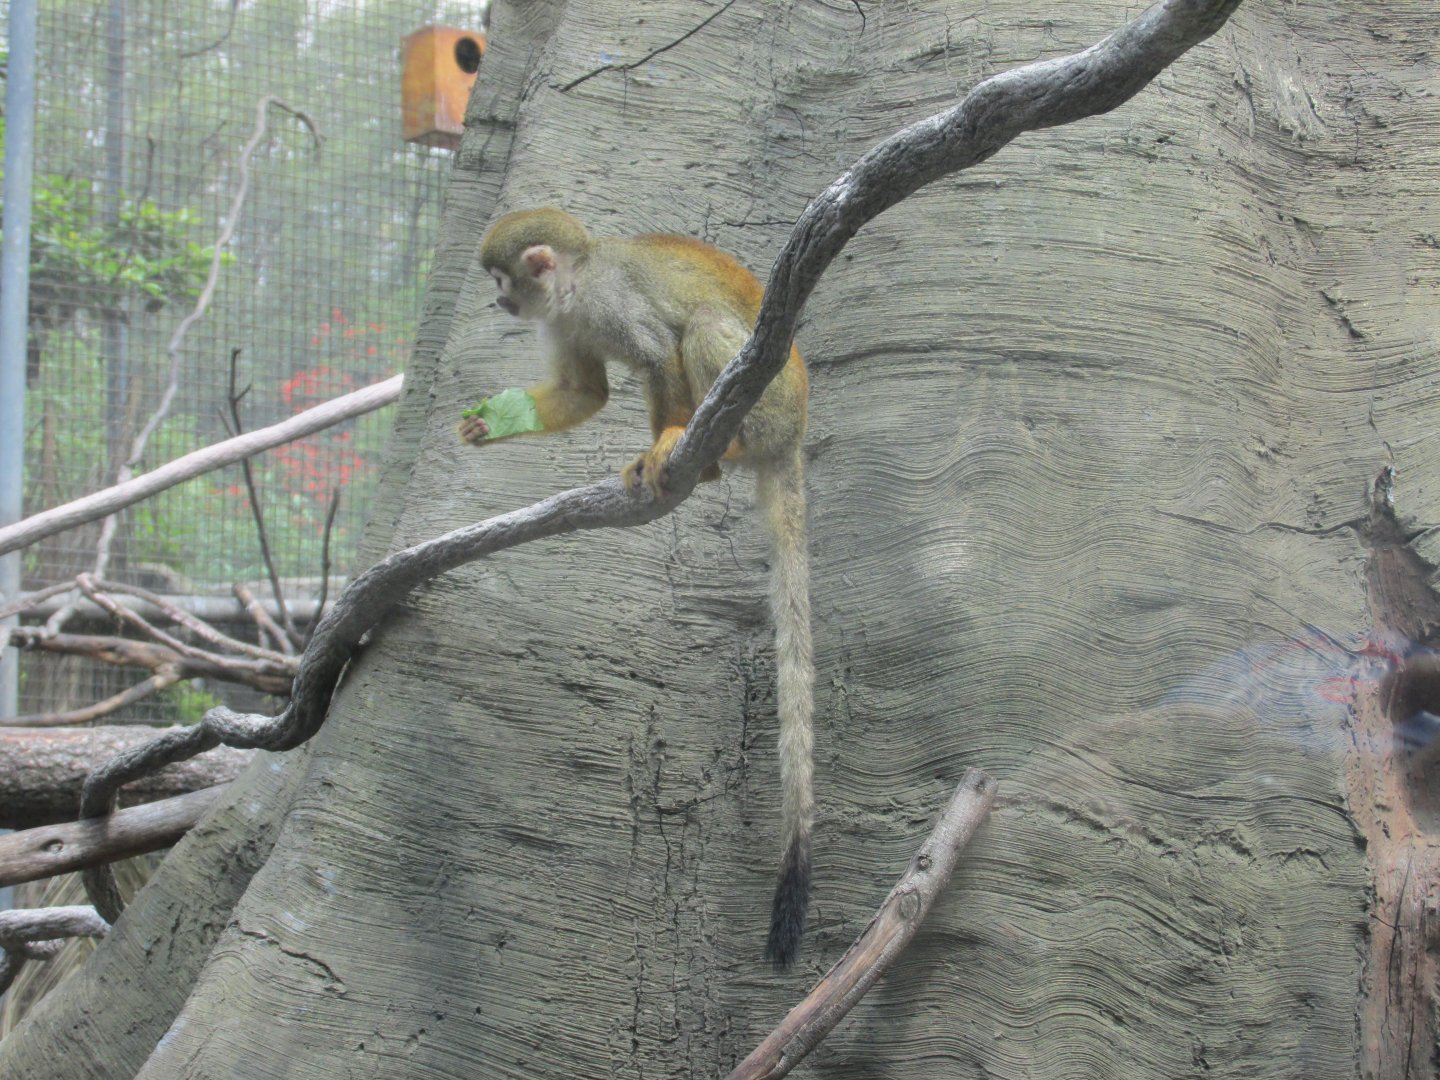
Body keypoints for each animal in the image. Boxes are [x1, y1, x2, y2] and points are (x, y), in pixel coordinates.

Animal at [461, 207, 814, 967]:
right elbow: (585, 393)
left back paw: (714, 452)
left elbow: (658, 354)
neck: (577, 286)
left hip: (772, 401)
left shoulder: (613, 305)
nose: (499, 304)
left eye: (503, 280)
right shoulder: (564, 323)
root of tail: (797, 433)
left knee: (703, 327)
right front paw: (488, 424)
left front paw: (665, 446)